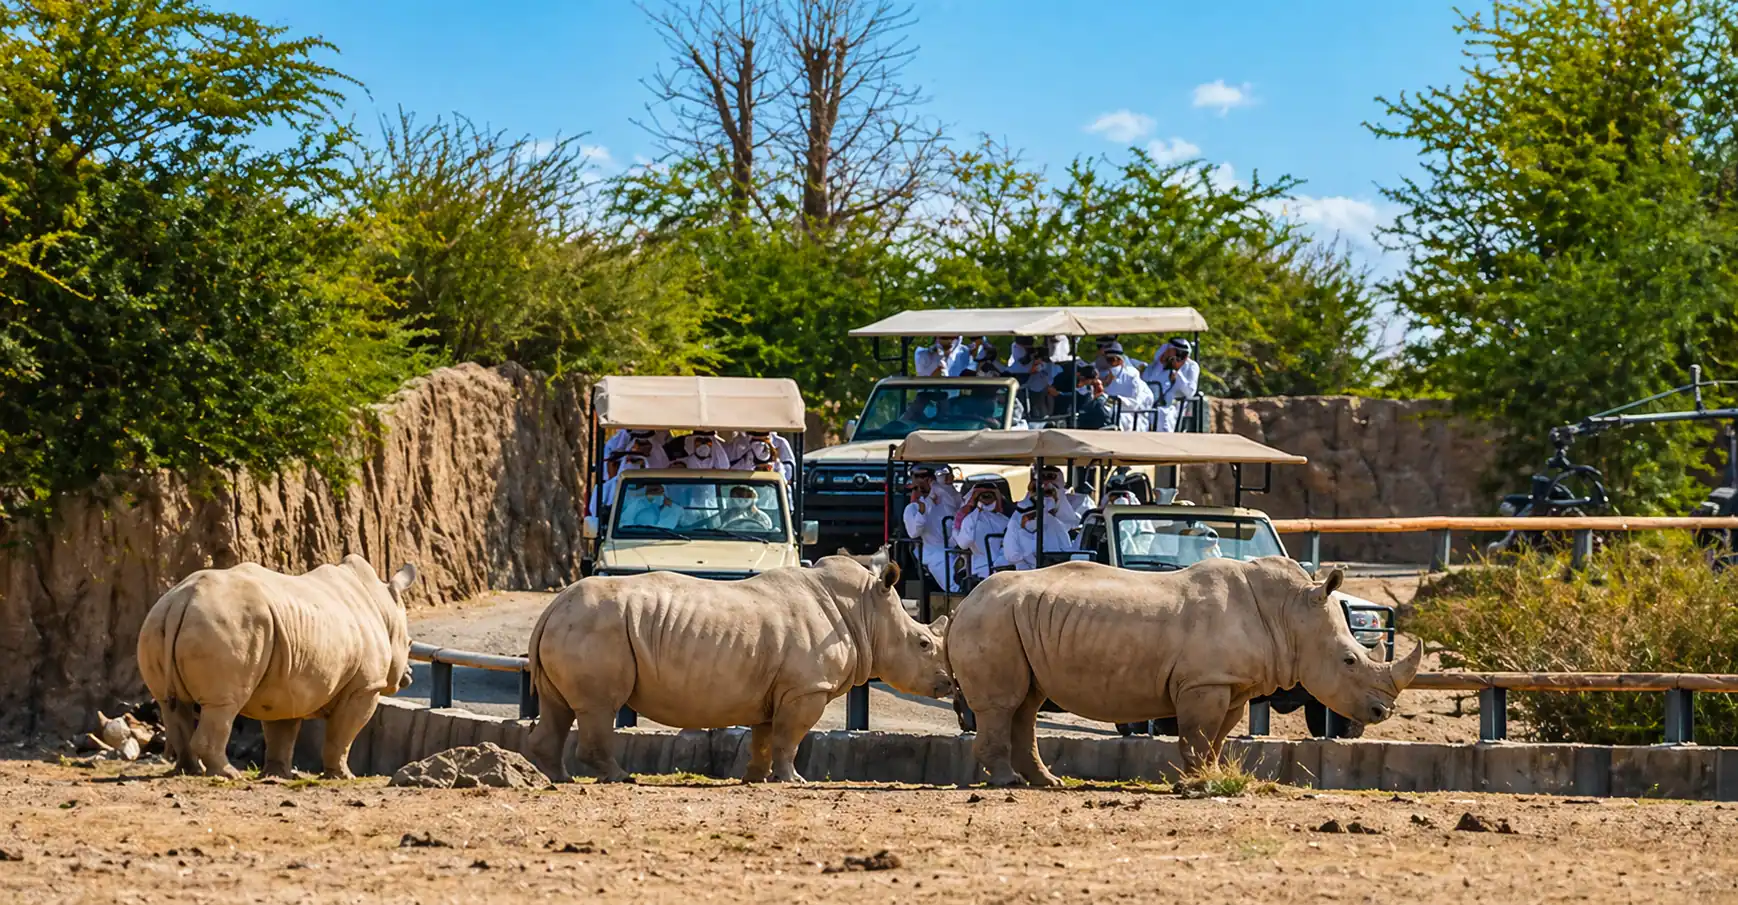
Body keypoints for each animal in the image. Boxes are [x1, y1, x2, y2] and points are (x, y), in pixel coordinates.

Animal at [136, 555, 418, 779]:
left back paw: (189, 771)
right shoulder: (366, 687)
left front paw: (277, 775)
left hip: (156, 621)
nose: (409, 676)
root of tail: (183, 598)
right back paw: (229, 775)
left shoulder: (287, 684)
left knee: (171, 706)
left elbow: (281, 730)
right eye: (410, 643)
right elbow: (342, 735)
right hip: (227, 624)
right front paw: (343, 777)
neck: (383, 608)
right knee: (223, 706)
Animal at [525, 552, 952, 783]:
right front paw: (793, 779)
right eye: (923, 644)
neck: (867, 611)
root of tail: (551, 607)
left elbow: (764, 736)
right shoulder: (807, 688)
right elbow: (790, 737)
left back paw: (558, 778)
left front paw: (755, 779)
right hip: (596, 627)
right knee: (599, 708)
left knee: (556, 707)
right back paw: (619, 776)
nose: (949, 684)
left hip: (575, 624)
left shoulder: (776, 689)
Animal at [948, 557, 1422, 785]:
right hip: (993, 618)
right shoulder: (1204, 681)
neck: (1289, 614)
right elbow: (1197, 734)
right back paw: (1007, 782)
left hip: (1013, 619)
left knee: (1027, 704)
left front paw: (1210, 776)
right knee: (1004, 704)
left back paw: (1048, 782)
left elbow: (1217, 737)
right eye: (1349, 661)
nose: (1383, 713)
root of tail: (963, 602)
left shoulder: (1232, 684)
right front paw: (1194, 783)